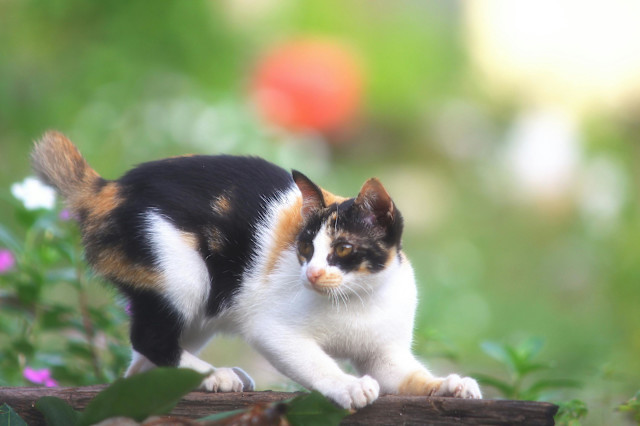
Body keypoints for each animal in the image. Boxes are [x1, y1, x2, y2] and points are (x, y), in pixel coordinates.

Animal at [30, 131, 480, 410]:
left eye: (343, 249)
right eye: (305, 249)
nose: (311, 275)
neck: (357, 300)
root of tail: (108, 189)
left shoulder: (386, 356)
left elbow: (406, 376)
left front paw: (450, 385)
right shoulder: (273, 329)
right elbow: (315, 362)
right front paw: (347, 385)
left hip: (207, 305)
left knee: (140, 363)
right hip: (185, 274)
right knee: (150, 338)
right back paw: (215, 376)